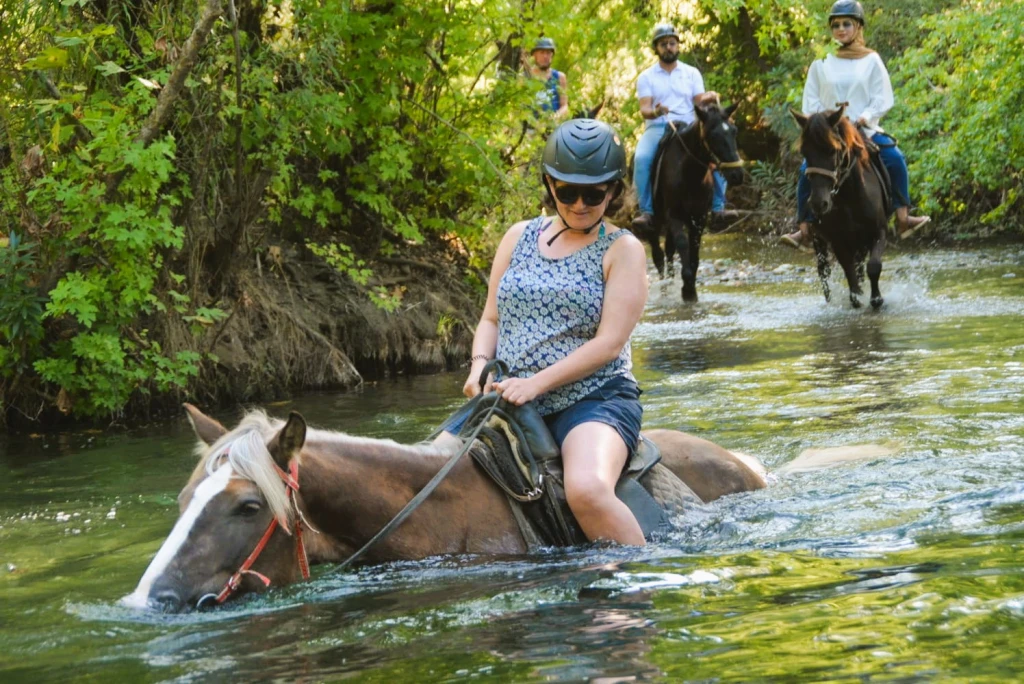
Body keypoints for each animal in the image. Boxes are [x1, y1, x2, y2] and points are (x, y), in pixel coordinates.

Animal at [645, 102, 745, 303]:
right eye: (712, 135)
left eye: (734, 131)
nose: (737, 175)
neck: (689, 173)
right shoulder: (674, 216)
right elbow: (683, 245)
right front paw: (688, 289)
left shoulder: (699, 218)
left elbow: (694, 254)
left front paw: (690, 289)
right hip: (657, 219)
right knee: (658, 254)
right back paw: (664, 289)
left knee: (669, 250)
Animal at [791, 105, 888, 309]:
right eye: (804, 152)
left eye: (832, 150)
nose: (818, 203)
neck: (849, 197)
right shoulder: (838, 240)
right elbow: (848, 272)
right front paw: (856, 298)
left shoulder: (879, 231)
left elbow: (873, 266)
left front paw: (876, 299)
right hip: (818, 238)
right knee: (823, 271)